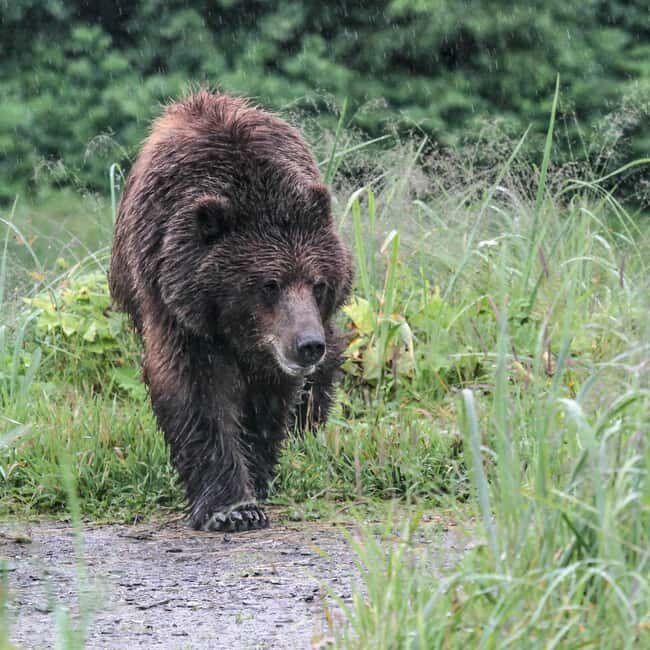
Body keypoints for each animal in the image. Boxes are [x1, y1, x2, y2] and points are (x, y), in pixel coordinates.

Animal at [109, 91, 354, 532]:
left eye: (317, 282)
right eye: (269, 284)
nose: (307, 345)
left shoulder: (275, 344)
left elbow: (266, 400)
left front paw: (255, 479)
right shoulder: (176, 310)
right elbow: (198, 394)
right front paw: (232, 508)